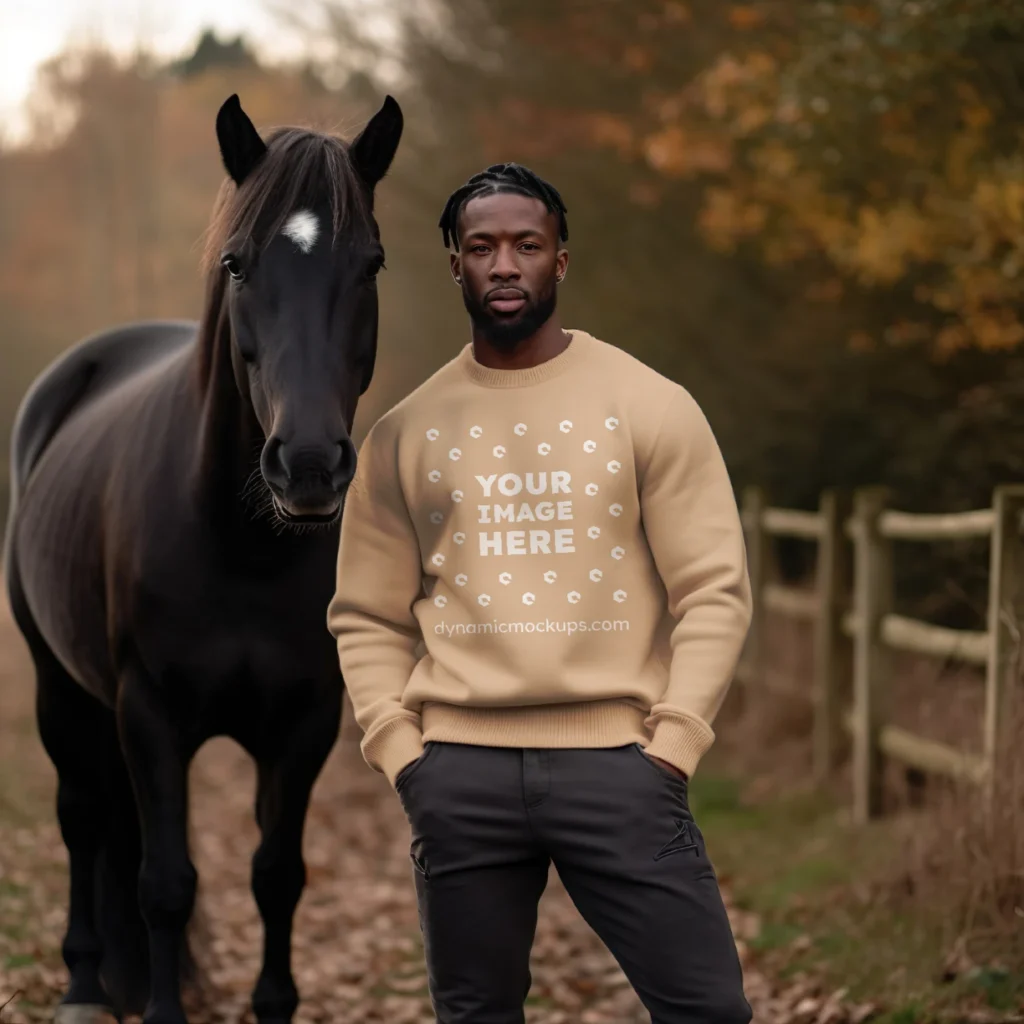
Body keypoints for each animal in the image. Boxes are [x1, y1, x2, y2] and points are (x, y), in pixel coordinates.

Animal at [4, 92, 403, 1019]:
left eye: (371, 264)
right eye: (237, 264)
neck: (239, 547)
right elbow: (166, 884)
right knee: (83, 817)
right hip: (59, 688)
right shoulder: (150, 715)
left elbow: (277, 877)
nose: (308, 464)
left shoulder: (304, 724)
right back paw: (84, 985)